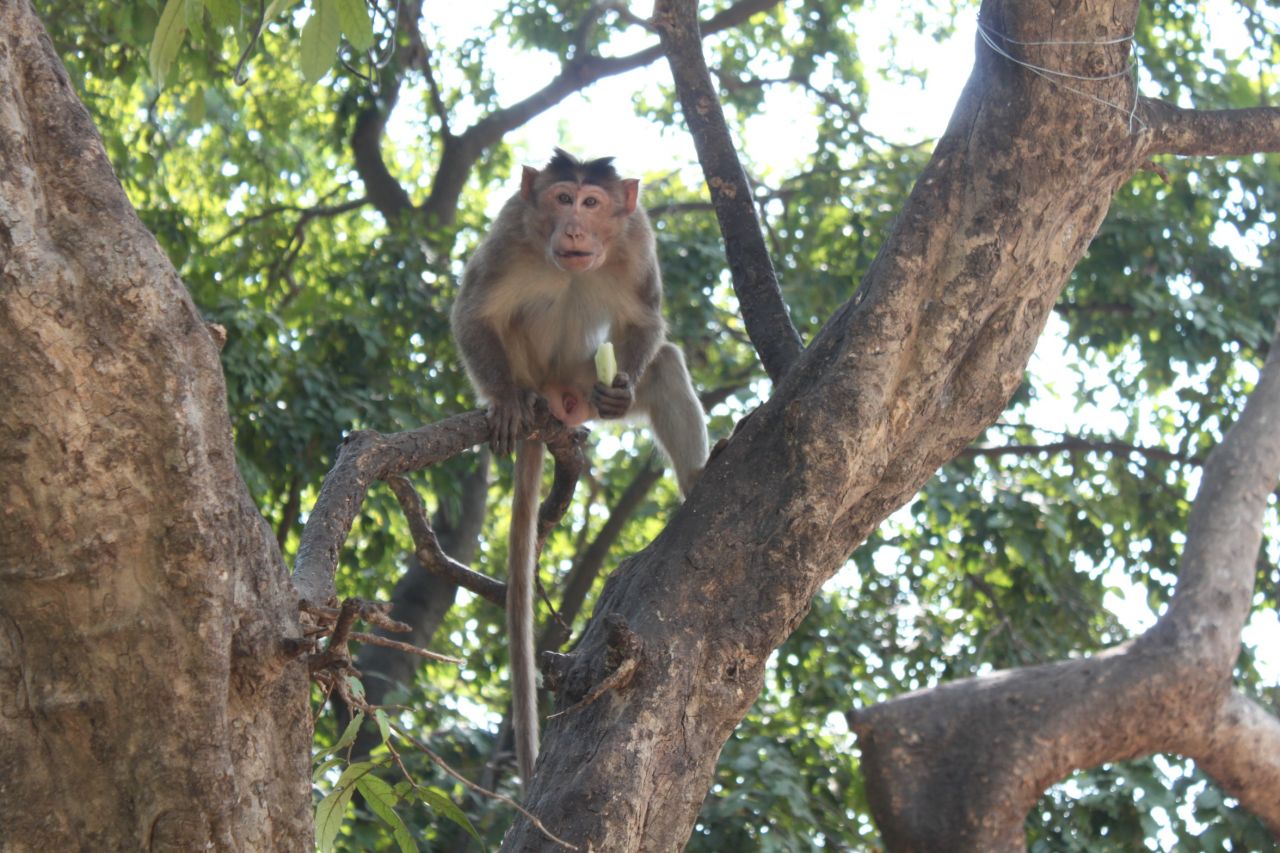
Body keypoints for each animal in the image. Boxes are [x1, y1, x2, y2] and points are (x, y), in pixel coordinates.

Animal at [450, 147, 711, 783]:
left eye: (592, 202)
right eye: (561, 198)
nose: (572, 227)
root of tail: (557, 397)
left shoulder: (638, 241)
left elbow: (646, 323)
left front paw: (625, 386)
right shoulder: (509, 232)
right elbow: (473, 313)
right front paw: (504, 402)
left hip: (579, 380)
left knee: (665, 364)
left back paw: (691, 477)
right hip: (542, 376)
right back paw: (522, 403)